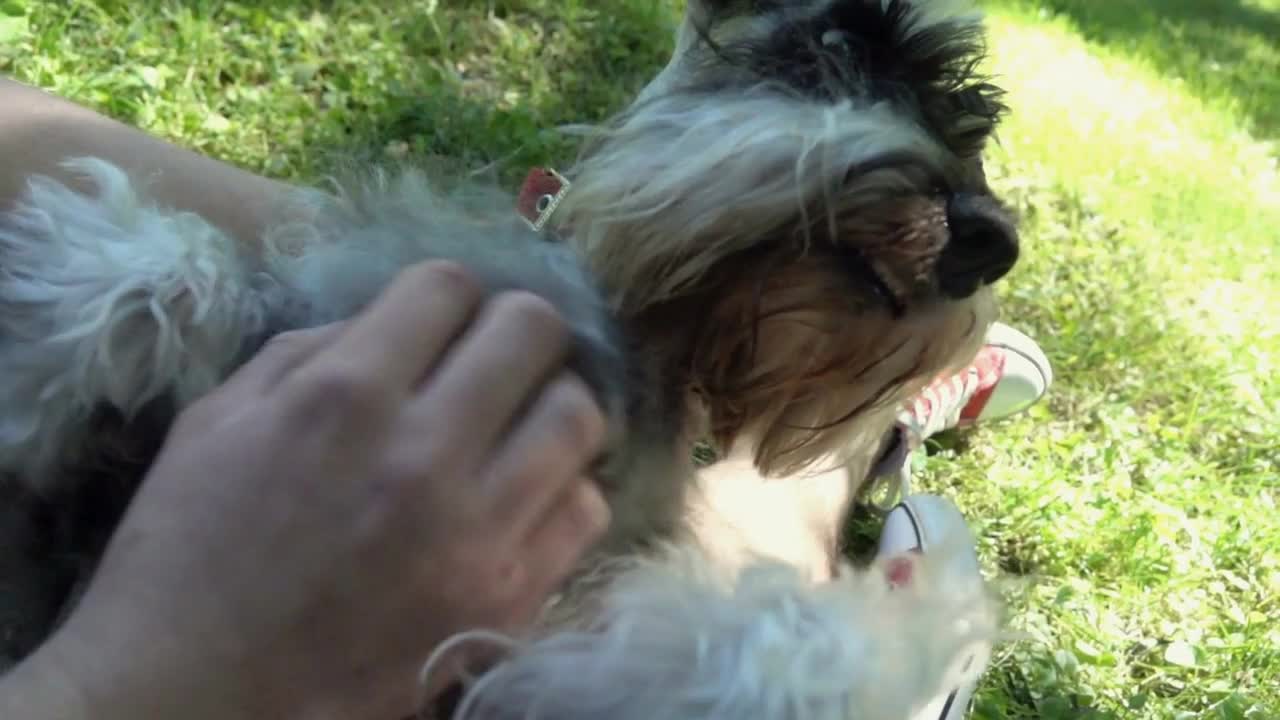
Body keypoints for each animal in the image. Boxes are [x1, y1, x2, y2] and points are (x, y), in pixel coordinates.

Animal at [0, 0, 1018, 707]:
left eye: (978, 127)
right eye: (846, 40)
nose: (990, 242)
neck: (637, 344)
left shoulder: (545, 642)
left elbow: (761, 651)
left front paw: (926, 619)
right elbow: (165, 271)